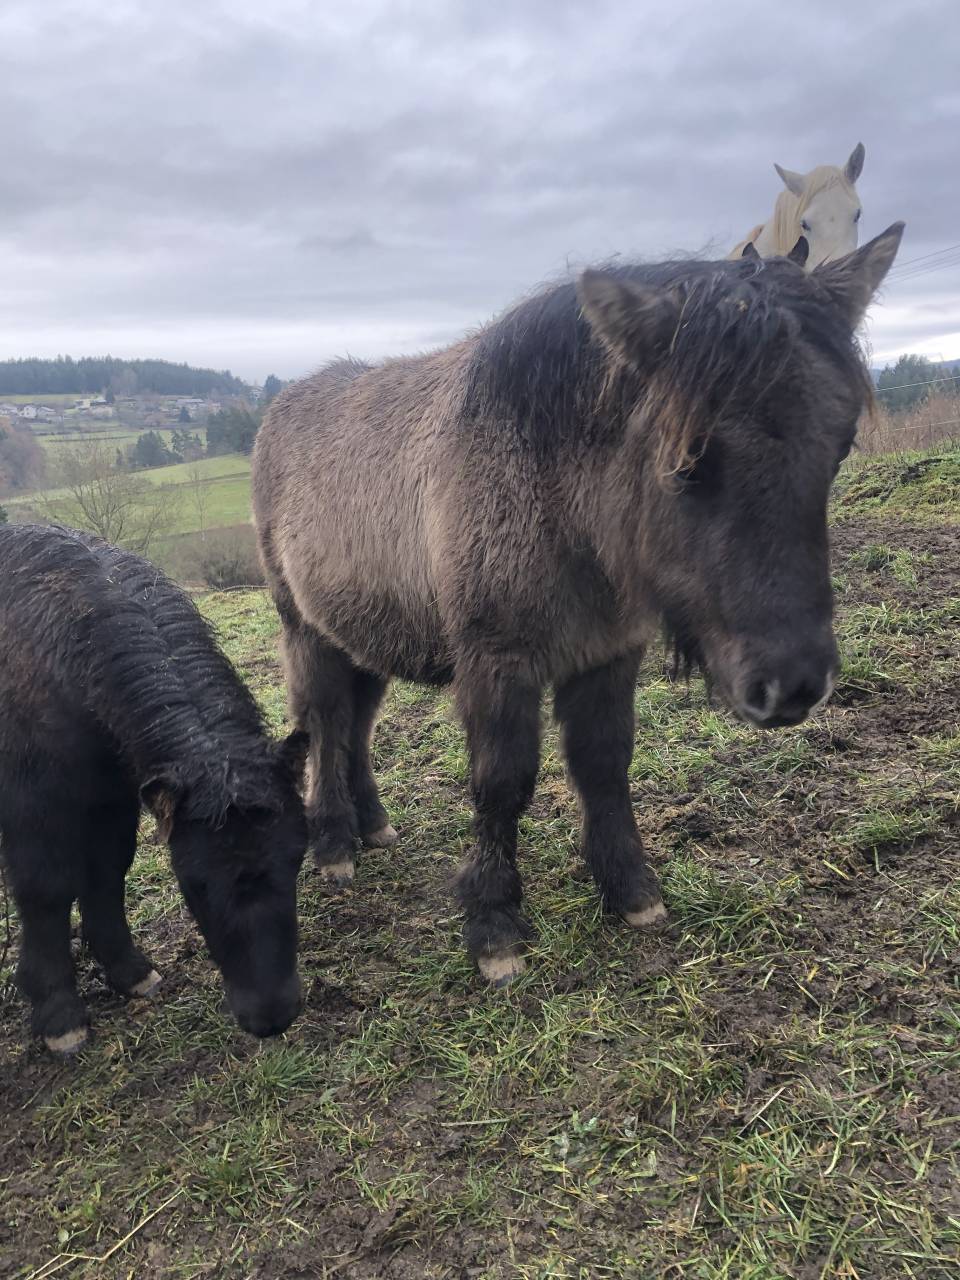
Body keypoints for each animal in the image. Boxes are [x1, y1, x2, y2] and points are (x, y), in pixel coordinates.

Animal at [0, 524, 309, 1053]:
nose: (271, 1017)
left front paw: (127, 970)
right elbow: (46, 890)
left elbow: (107, 872)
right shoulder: (32, 808)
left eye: (296, 860)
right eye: (195, 883)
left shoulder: (113, 800)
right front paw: (58, 1011)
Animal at [252, 222, 904, 986]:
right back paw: (333, 845)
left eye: (840, 447)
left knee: (356, 725)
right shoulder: (497, 664)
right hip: (304, 629)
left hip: (367, 633)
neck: (554, 495)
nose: (794, 685)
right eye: (687, 459)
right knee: (325, 724)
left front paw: (630, 890)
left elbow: (604, 765)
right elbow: (502, 785)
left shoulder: (607, 654)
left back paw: (372, 823)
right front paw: (494, 925)